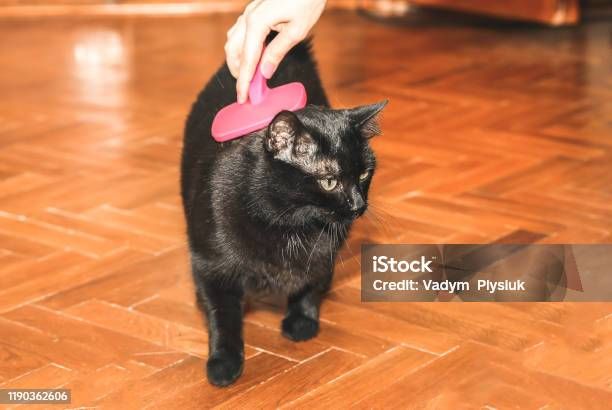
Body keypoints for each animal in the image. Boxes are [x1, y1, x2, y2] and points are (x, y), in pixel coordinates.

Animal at [179, 39, 384, 388]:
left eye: (363, 175)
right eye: (329, 181)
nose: (358, 205)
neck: (289, 222)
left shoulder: (325, 254)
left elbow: (312, 284)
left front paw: (302, 321)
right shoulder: (210, 266)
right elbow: (222, 315)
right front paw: (224, 361)